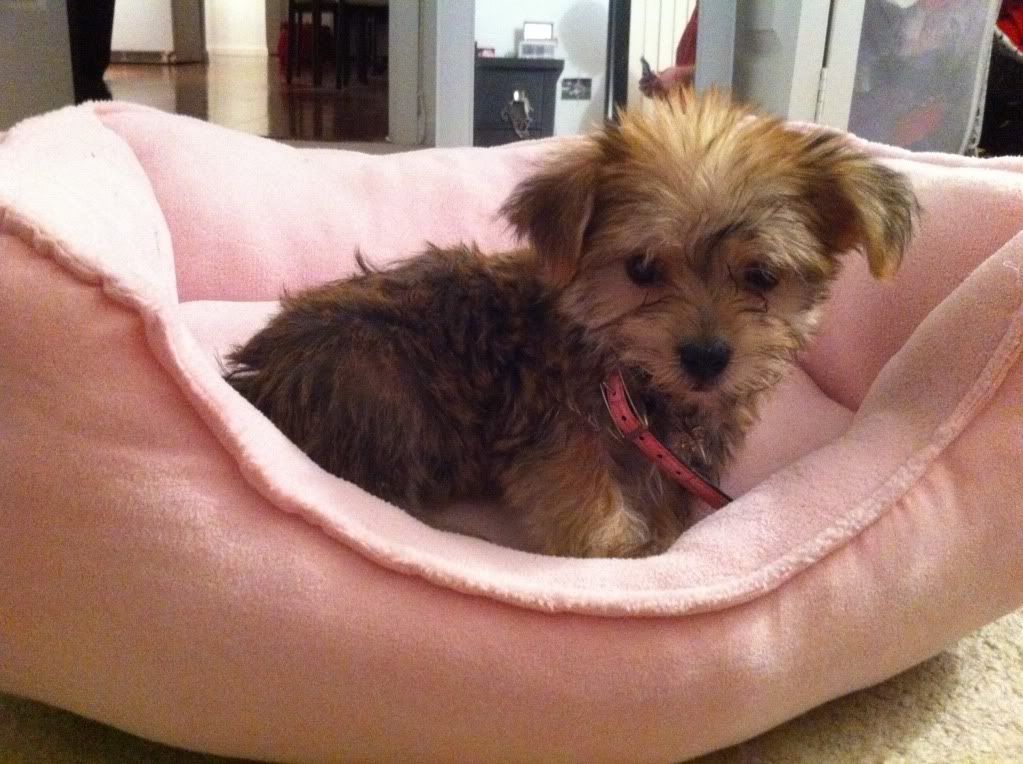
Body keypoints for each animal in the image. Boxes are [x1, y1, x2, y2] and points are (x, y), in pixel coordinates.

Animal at [224, 89, 916, 558]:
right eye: (642, 268)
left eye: (763, 276)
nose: (705, 356)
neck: (632, 377)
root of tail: (255, 376)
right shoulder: (559, 445)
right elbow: (595, 521)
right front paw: (628, 549)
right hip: (381, 378)